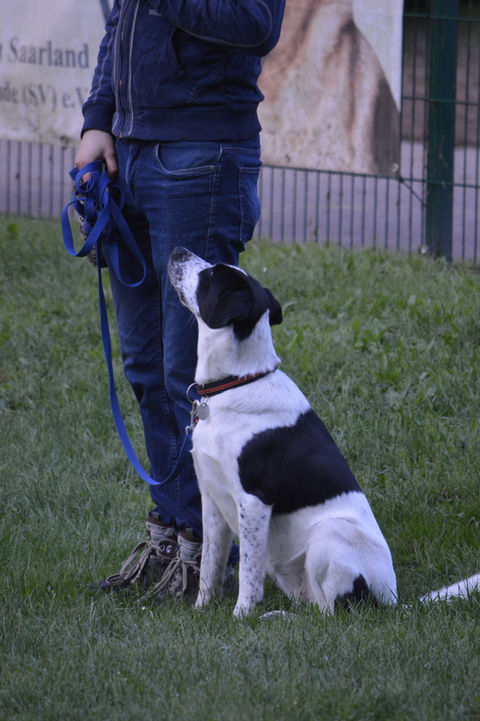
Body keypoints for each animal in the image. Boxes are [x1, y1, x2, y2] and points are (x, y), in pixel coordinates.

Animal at [167, 247, 480, 617]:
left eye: (211, 275)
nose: (178, 251)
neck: (236, 382)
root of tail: (391, 602)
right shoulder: (213, 497)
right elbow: (210, 565)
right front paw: (201, 610)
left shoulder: (254, 501)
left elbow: (248, 571)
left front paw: (241, 617)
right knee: (315, 609)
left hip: (328, 535)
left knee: (334, 614)